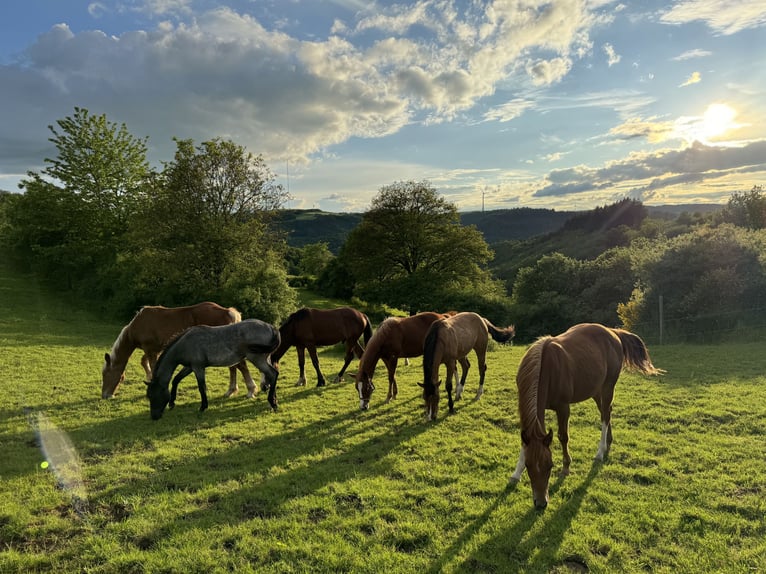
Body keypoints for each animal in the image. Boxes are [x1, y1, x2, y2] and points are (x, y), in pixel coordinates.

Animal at [99, 302, 255, 400]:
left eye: (106, 375)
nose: (105, 396)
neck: (138, 325)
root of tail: (227, 311)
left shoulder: (150, 350)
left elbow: (152, 366)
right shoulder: (154, 350)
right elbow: (145, 363)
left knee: (240, 365)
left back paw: (250, 390)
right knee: (234, 367)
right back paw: (231, 390)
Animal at [145, 320, 282, 424]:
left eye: (154, 396)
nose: (154, 416)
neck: (185, 344)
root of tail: (271, 327)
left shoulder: (198, 367)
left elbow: (202, 387)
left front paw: (203, 407)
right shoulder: (189, 367)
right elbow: (176, 380)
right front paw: (172, 403)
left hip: (257, 359)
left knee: (273, 374)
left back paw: (272, 403)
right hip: (264, 359)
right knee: (272, 376)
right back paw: (273, 401)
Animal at [512, 322, 668, 510]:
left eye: (550, 465)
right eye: (528, 466)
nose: (541, 503)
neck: (545, 367)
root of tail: (613, 332)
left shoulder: (563, 407)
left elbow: (563, 436)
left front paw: (566, 467)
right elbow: (524, 442)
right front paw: (516, 473)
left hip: (608, 386)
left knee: (605, 416)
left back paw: (600, 452)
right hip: (595, 390)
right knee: (606, 411)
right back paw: (608, 442)